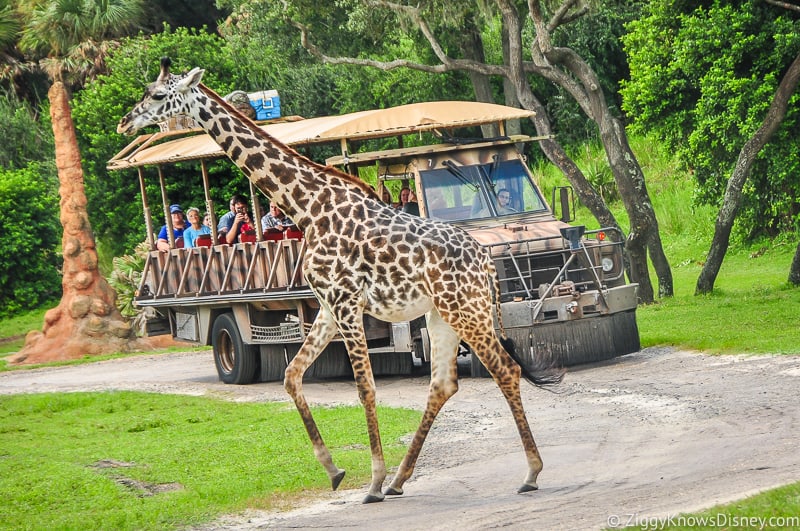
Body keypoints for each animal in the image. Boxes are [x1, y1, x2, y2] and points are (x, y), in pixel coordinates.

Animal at [117, 58, 564, 502]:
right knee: (443, 383)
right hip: (441, 313)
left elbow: (364, 386)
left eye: (157, 94)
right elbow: (291, 375)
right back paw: (403, 479)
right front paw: (335, 471)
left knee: (504, 369)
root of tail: (485, 260)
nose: (125, 122)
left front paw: (373, 482)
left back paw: (529, 473)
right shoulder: (328, 307)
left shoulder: (347, 303)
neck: (307, 208)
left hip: (464, 307)